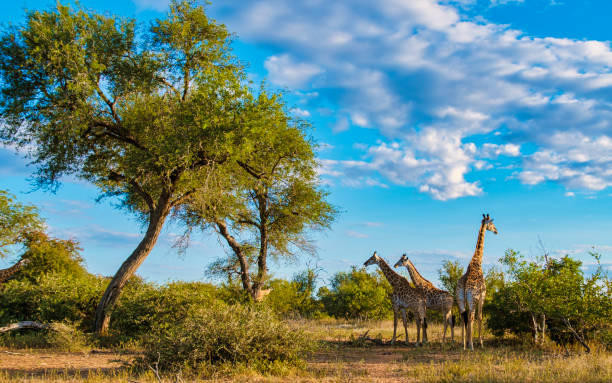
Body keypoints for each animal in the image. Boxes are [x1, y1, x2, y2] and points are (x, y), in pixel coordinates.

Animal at [460, 213, 498, 352]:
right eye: (491, 224)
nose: (496, 231)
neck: (477, 261)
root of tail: (465, 287)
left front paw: (469, 342)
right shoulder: (483, 295)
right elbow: (480, 317)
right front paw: (481, 342)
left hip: (461, 299)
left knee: (464, 316)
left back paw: (464, 344)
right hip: (473, 299)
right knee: (471, 317)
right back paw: (471, 346)